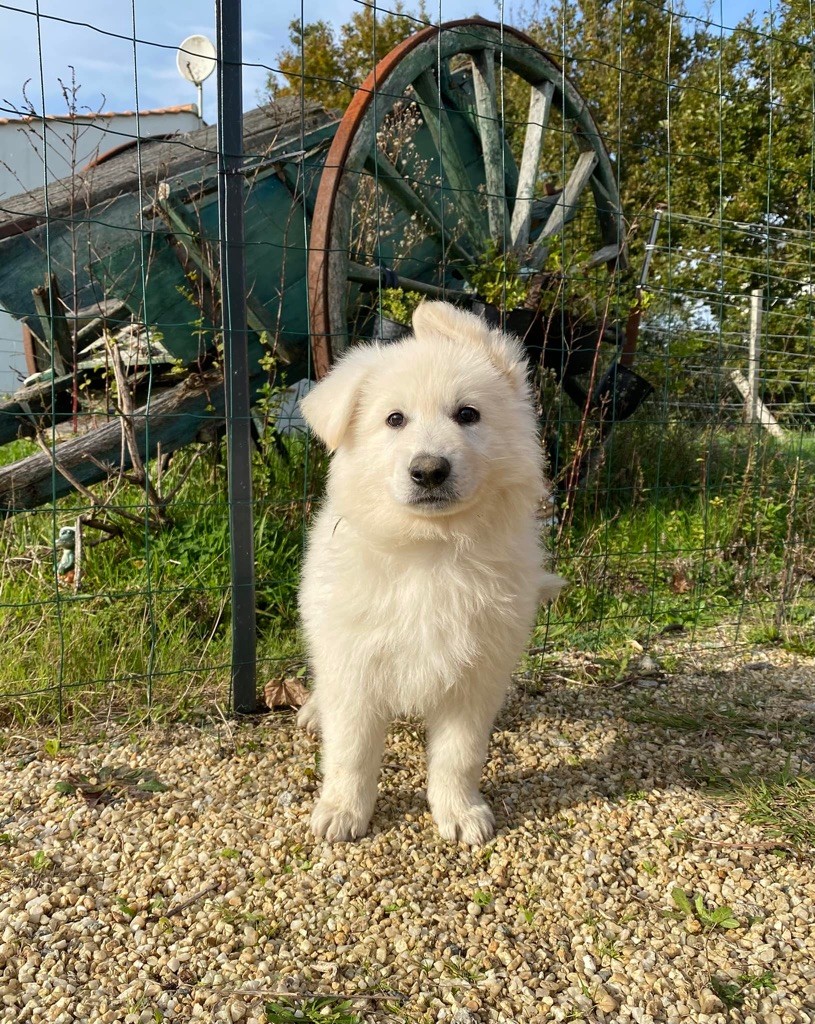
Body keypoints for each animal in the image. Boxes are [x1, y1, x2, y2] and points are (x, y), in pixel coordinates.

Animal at [296, 299, 565, 843]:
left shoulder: (476, 671)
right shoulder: (355, 663)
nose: (429, 470)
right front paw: (342, 810)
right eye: (395, 419)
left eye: (468, 415)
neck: (430, 549)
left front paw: (459, 812)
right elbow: (351, 750)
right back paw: (314, 711)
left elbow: (460, 754)